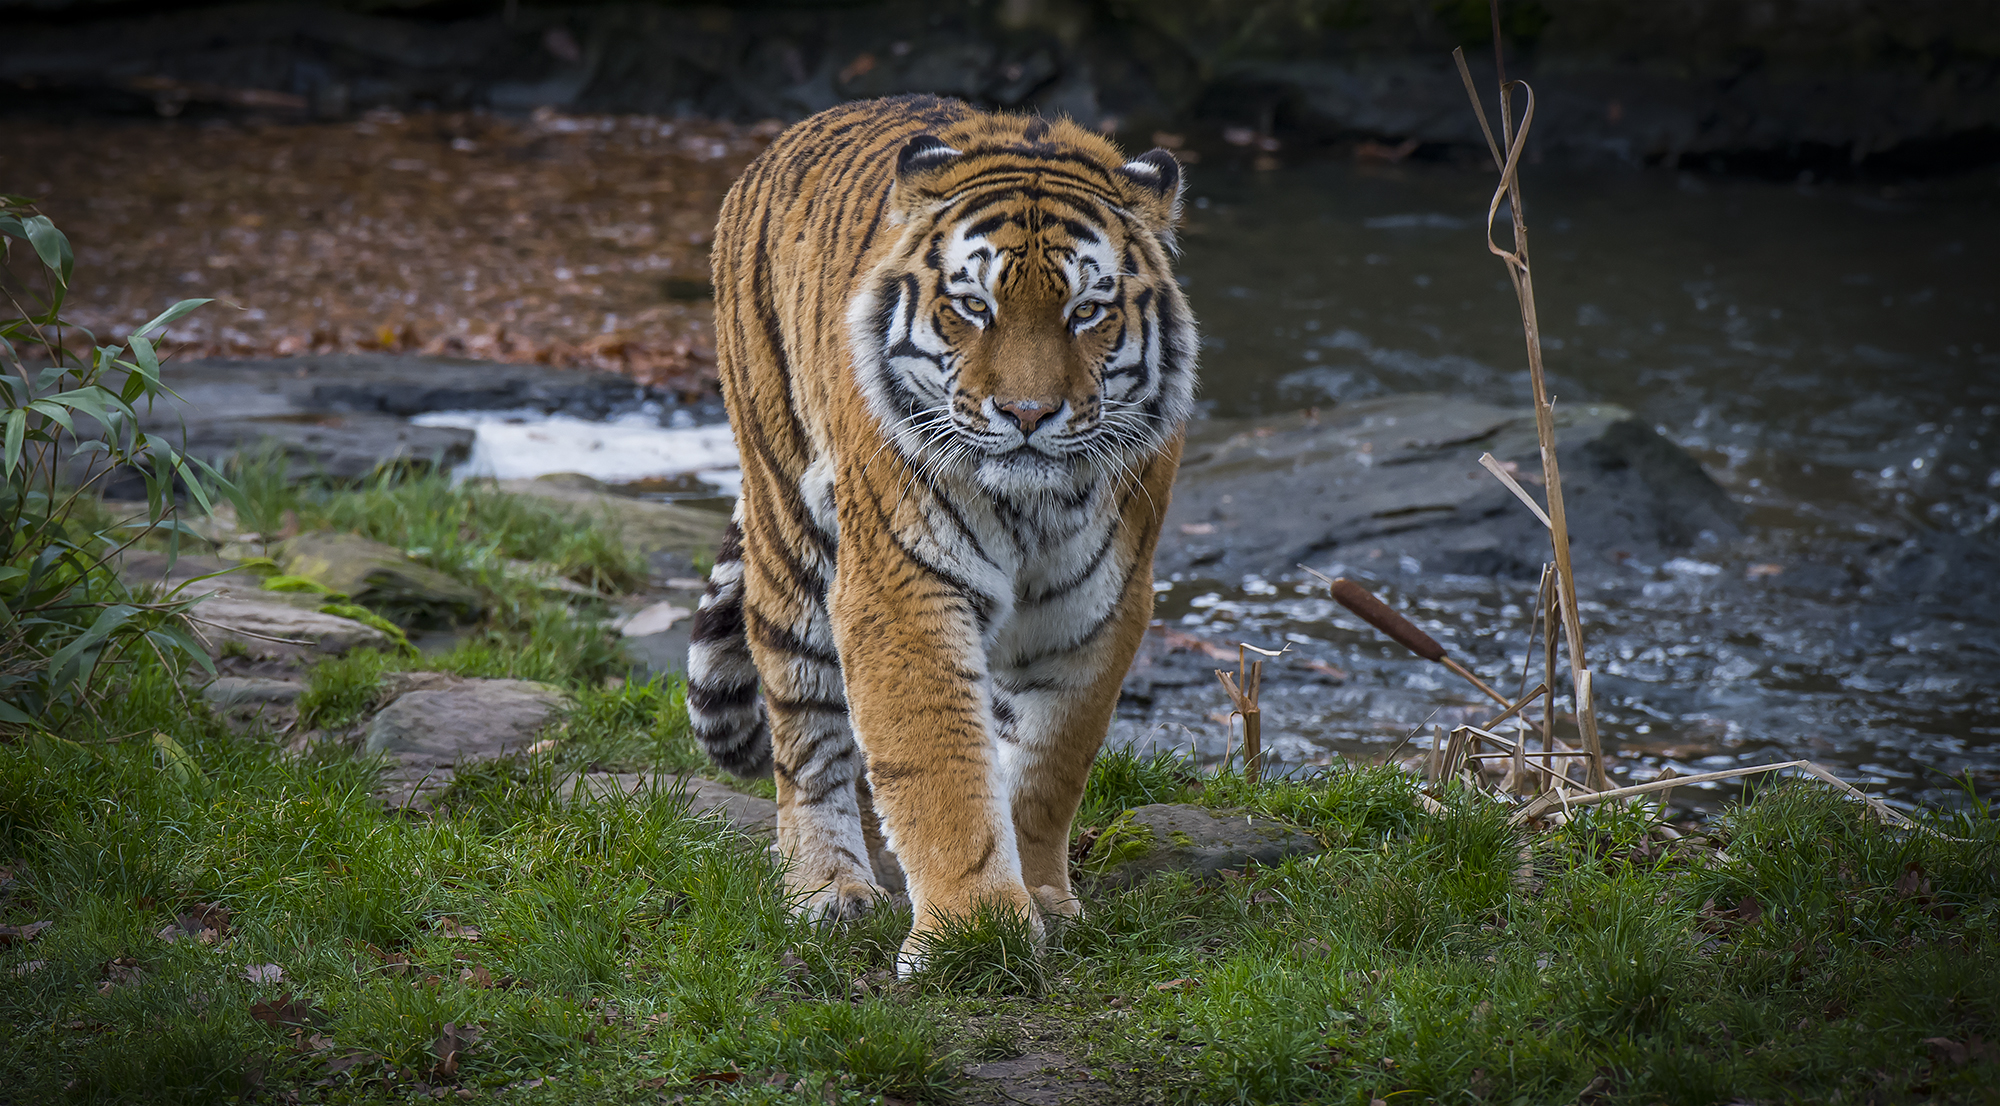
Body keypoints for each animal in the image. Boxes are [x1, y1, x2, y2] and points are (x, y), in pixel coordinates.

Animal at [680, 97, 1192, 976]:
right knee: (807, 736)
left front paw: (1044, 900)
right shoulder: (904, 585)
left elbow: (1049, 763)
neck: (1034, 507)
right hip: (790, 530)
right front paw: (973, 932)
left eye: (1086, 311)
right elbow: (939, 767)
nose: (1027, 414)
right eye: (975, 307)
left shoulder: (1099, 605)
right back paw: (830, 891)